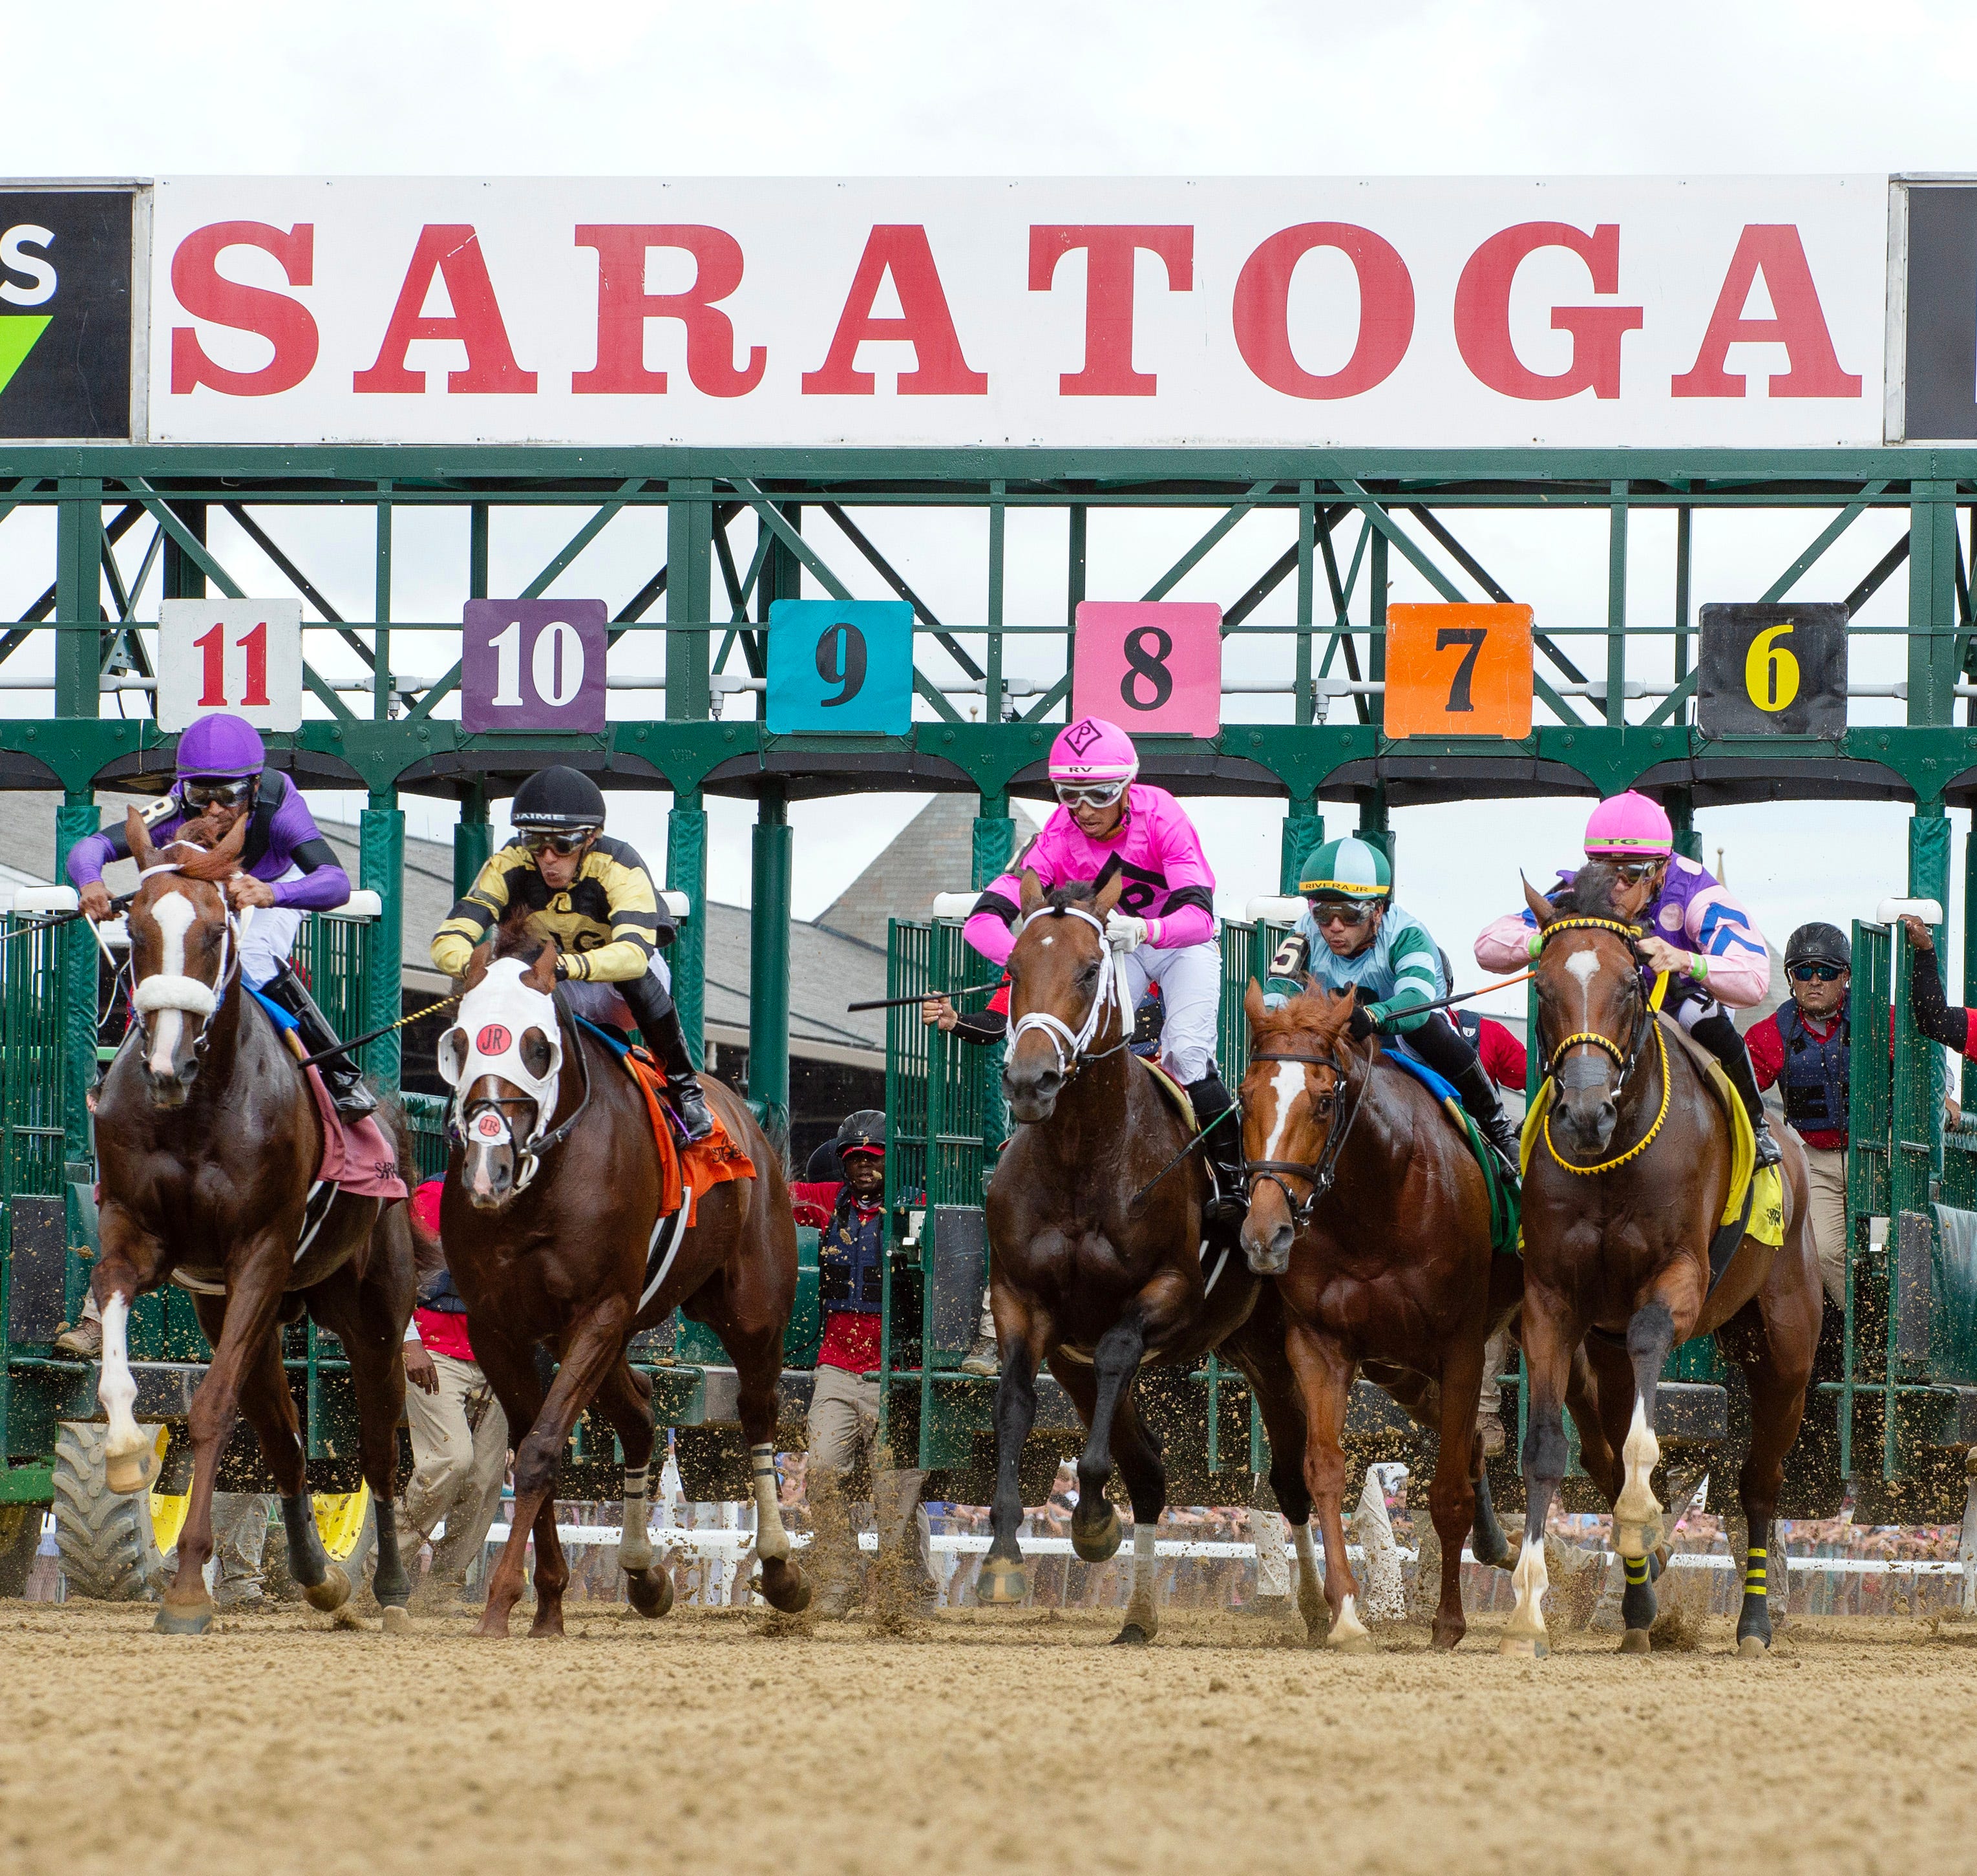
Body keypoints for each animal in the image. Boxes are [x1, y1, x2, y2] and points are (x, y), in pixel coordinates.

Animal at [94, 814, 419, 1628]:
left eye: (215, 930)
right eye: (134, 929)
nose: (166, 1066)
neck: (195, 1108)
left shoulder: (261, 1252)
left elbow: (211, 1408)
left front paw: (184, 1590)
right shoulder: (141, 1238)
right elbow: (114, 1330)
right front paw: (125, 1451)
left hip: (371, 1313)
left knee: (376, 1451)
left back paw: (391, 1589)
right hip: (253, 1314)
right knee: (285, 1442)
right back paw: (317, 1575)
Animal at [437, 913, 807, 1636]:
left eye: (537, 1048)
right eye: (458, 1043)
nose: (487, 1170)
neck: (542, 1184)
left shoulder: (601, 1308)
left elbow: (541, 1448)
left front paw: (502, 1600)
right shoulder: (498, 1324)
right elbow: (529, 1444)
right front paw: (548, 1600)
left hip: (749, 1308)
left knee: (756, 1412)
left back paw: (779, 1568)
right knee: (637, 1417)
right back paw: (642, 1572)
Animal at [977, 874, 1320, 1636]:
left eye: (1086, 970)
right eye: (1013, 967)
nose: (1030, 1080)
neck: (1081, 1156)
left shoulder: (1167, 1293)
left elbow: (1115, 1359)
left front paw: (1087, 1515)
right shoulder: (1021, 1301)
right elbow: (1014, 1398)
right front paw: (1007, 1550)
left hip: (1278, 1349)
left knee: (1294, 1475)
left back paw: (1320, 1605)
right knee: (1154, 1471)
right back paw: (1136, 1612)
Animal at [1242, 988, 1518, 1645]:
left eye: (1323, 1101)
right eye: (1243, 1096)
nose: (1266, 1233)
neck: (1377, 1199)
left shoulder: (1461, 1345)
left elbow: (1445, 1492)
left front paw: (1448, 1623)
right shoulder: (1319, 1344)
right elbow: (1322, 1468)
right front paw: (1343, 1610)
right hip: (1401, 1372)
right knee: (1473, 1440)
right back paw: (1499, 1545)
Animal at [1510, 861, 1819, 1652]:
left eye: (1629, 982)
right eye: (1542, 986)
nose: (1584, 1113)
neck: (1612, 1160)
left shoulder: (1677, 1277)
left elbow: (1647, 1381)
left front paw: (1639, 1510)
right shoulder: (1551, 1301)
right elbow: (1547, 1449)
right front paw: (1528, 1609)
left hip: (1783, 1346)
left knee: (1758, 1483)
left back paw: (1752, 1620)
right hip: (1604, 1354)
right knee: (1601, 1444)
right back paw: (1638, 1606)